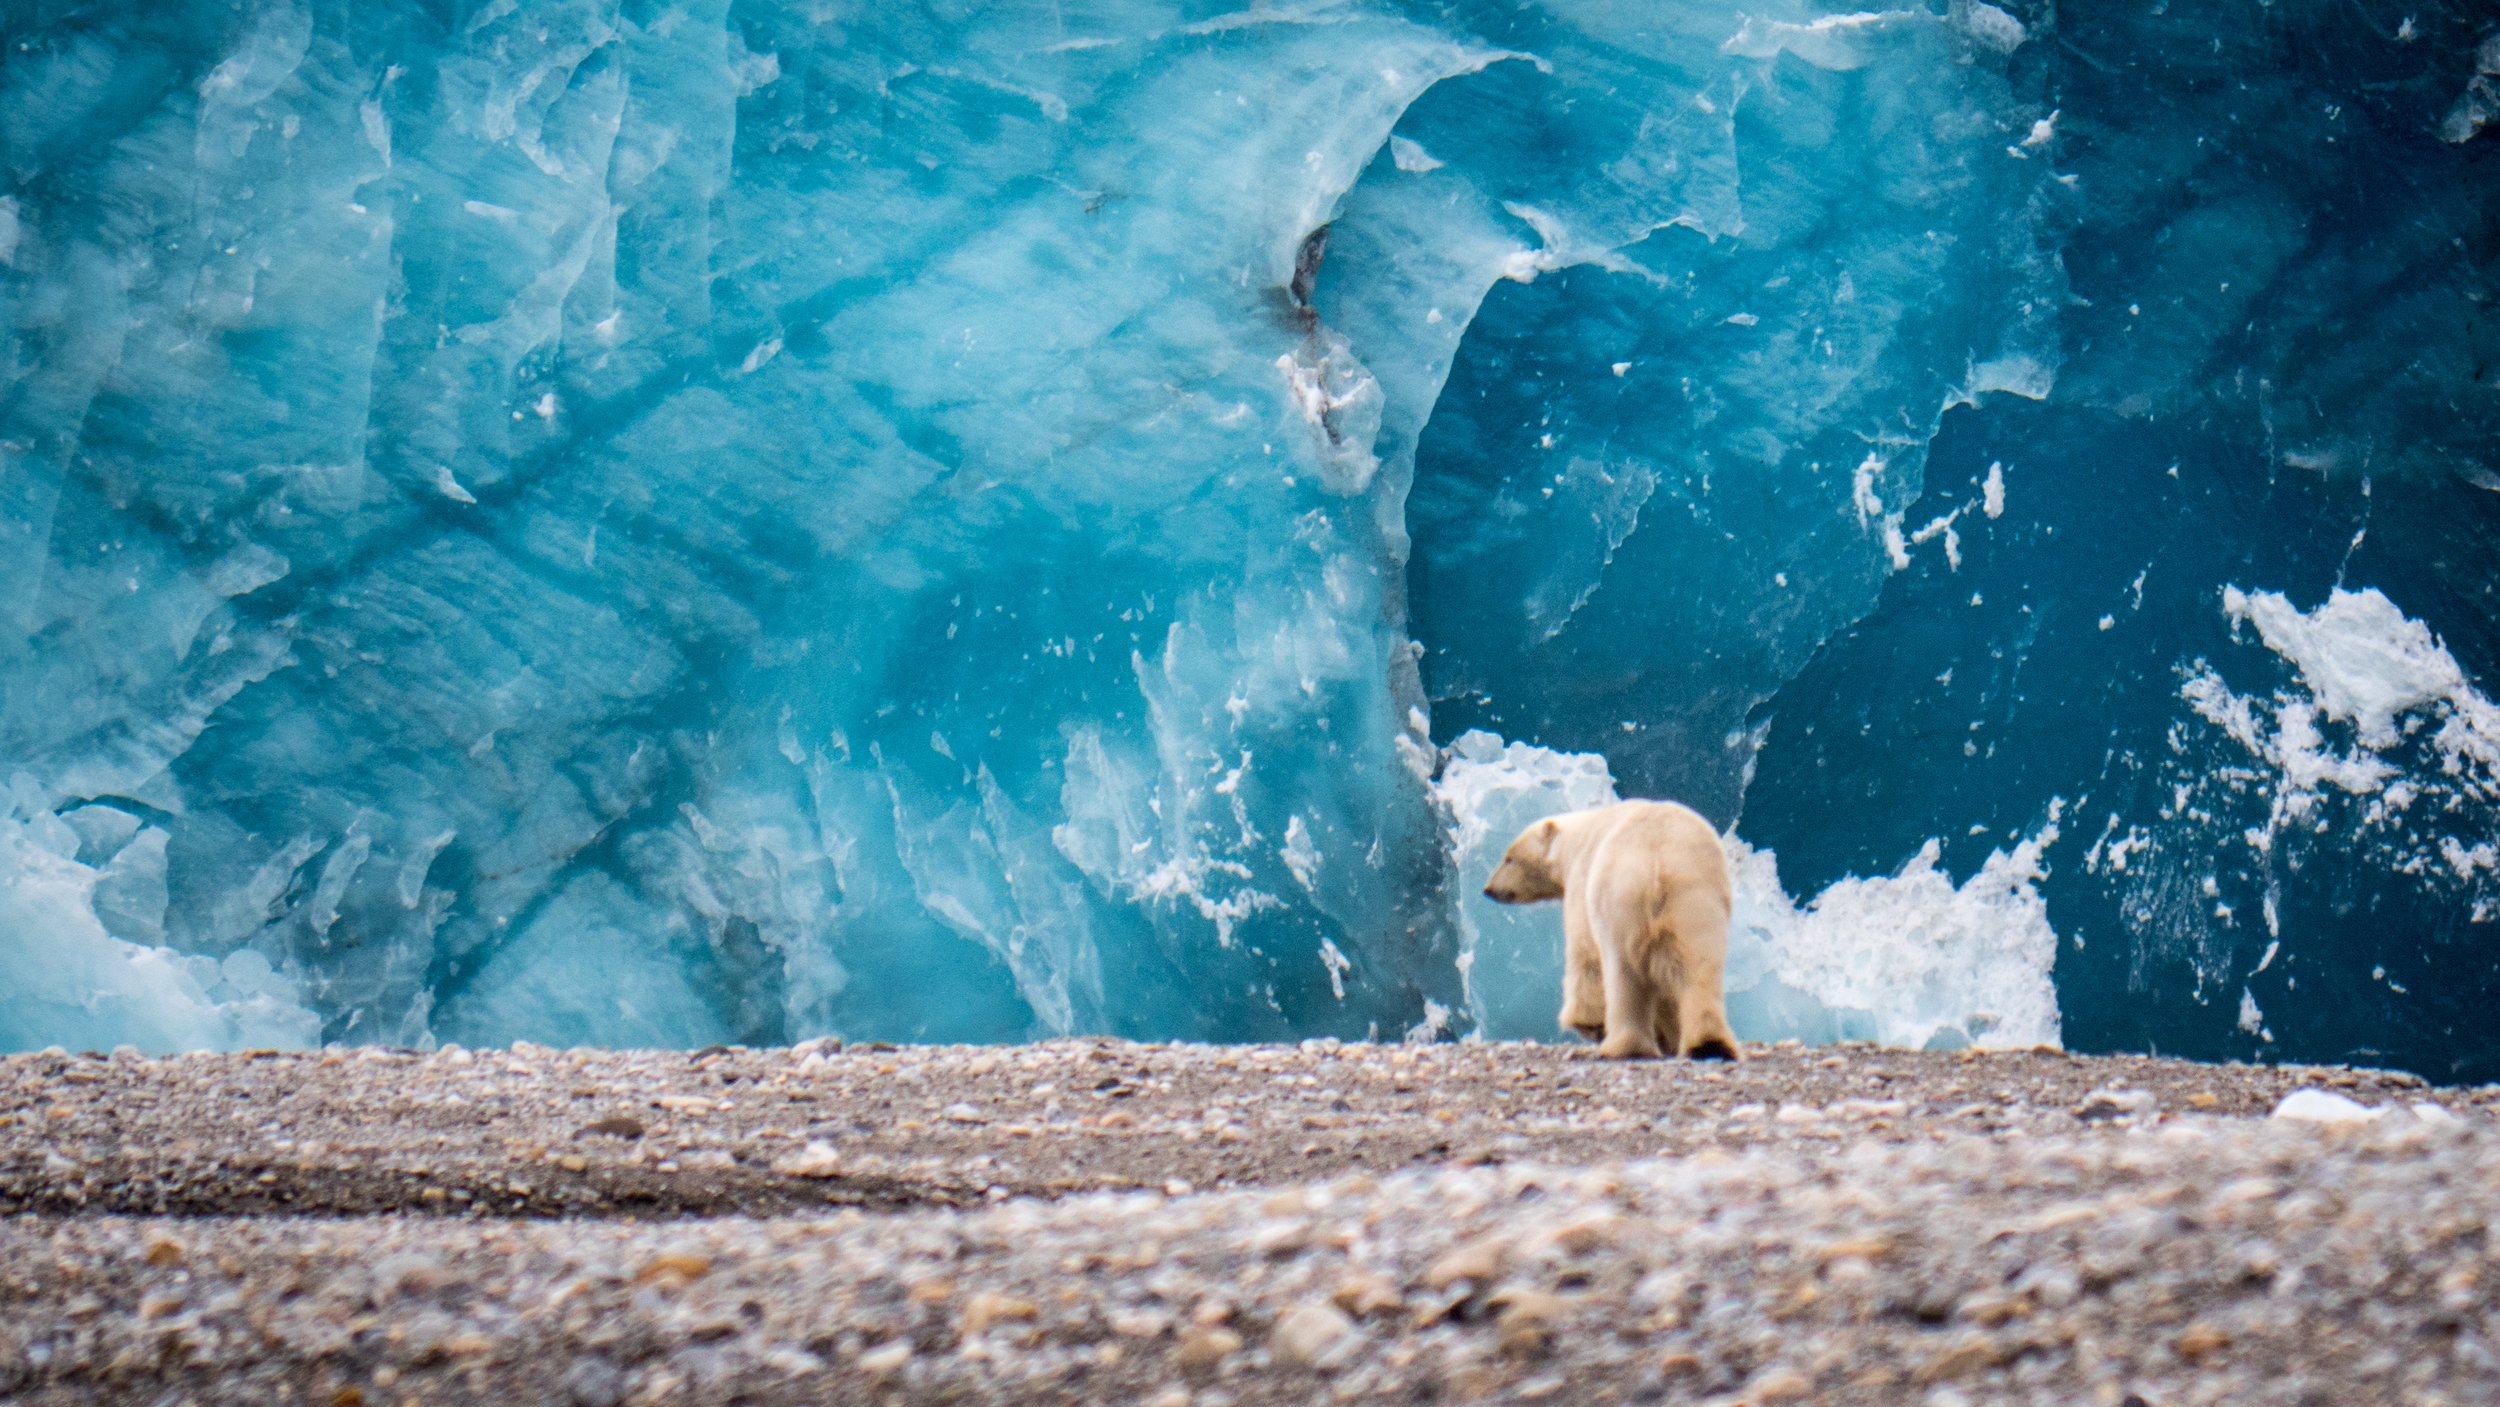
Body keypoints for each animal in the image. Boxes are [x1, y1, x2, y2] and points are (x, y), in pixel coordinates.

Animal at [1480, 799, 1740, 1064]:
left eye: (1509, 858)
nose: (1488, 889)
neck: (1575, 840)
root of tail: (1658, 860)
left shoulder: (1582, 879)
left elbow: (1585, 953)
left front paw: (1589, 1023)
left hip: (1622, 901)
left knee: (1623, 970)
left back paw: (1625, 1046)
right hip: (1696, 900)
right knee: (1699, 967)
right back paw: (1708, 1045)